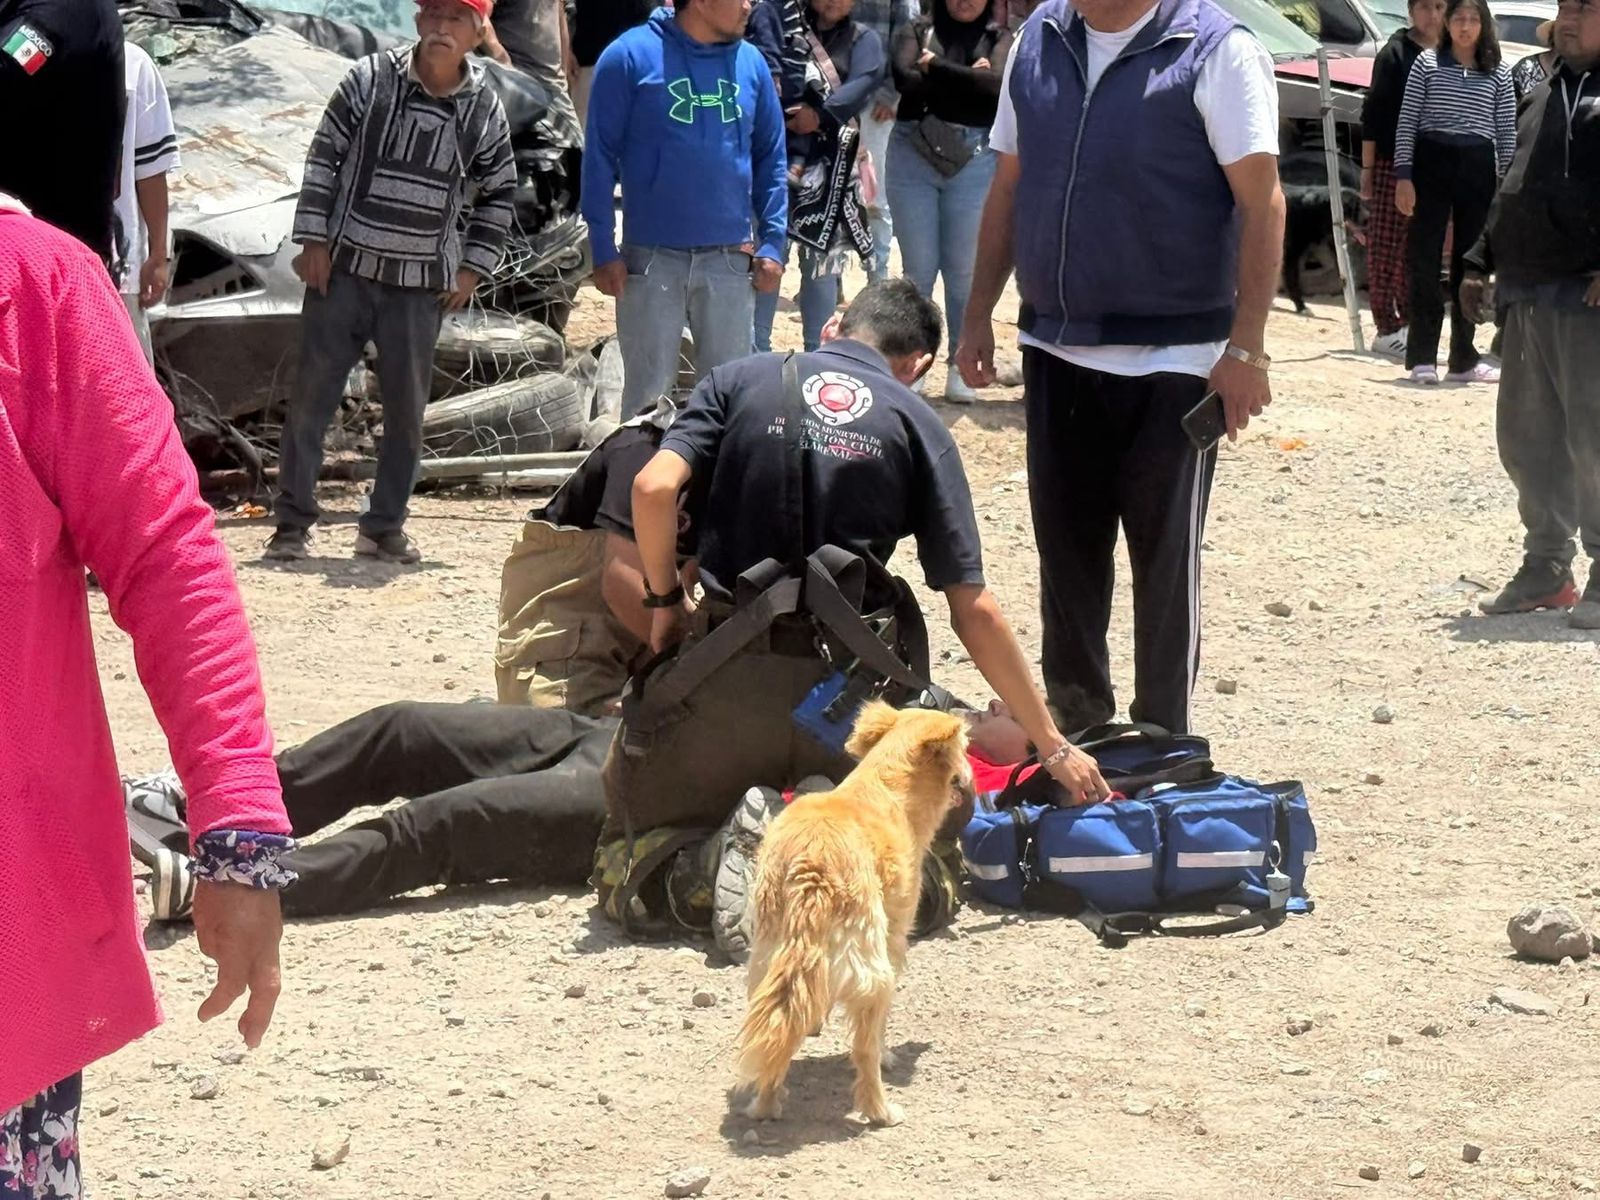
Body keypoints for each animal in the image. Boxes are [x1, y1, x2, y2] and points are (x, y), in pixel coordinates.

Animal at [734, 701, 973, 1127]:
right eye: (965, 748)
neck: (888, 784)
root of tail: (811, 867)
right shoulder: (894, 940)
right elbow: (877, 1034)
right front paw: (890, 1055)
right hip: (872, 971)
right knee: (864, 1051)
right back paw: (880, 1111)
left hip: (766, 961)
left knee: (778, 1026)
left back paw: (766, 1105)